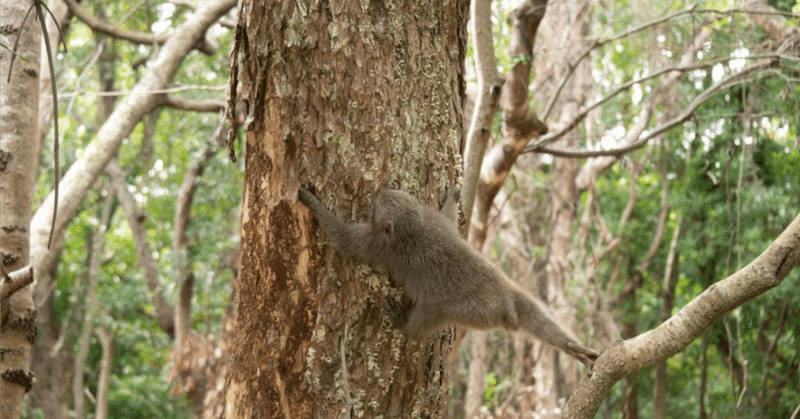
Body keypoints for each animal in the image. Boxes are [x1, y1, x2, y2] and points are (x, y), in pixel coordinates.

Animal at [298, 187, 600, 368]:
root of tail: (505, 301)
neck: (414, 227)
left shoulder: (378, 244)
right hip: (514, 292)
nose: (378, 192)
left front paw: (312, 203)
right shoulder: (434, 221)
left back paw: (405, 326)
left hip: (477, 311)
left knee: (432, 312)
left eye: (374, 208)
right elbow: (448, 220)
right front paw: (452, 200)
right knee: (538, 318)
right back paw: (571, 346)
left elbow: (344, 240)